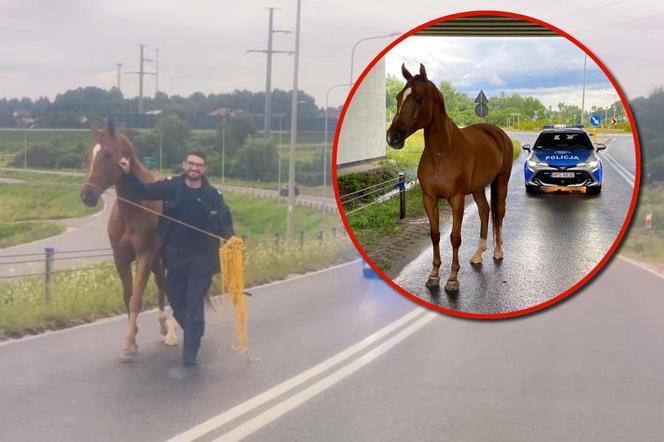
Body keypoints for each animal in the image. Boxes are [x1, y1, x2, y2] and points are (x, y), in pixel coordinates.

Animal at [79, 119, 178, 360]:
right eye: (88, 154)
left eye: (107, 154)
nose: (87, 195)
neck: (135, 208)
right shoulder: (121, 258)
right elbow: (128, 296)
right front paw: (132, 338)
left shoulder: (145, 255)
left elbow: (136, 298)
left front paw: (128, 343)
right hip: (157, 259)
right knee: (162, 283)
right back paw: (164, 325)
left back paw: (171, 331)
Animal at [386, 64, 510, 294]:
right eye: (398, 96)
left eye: (418, 98)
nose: (392, 137)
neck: (441, 153)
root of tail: (498, 133)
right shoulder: (429, 199)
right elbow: (435, 235)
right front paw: (434, 276)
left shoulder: (457, 199)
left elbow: (455, 237)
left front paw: (452, 279)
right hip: (478, 189)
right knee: (485, 211)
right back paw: (478, 254)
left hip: (501, 181)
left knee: (498, 213)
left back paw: (498, 252)